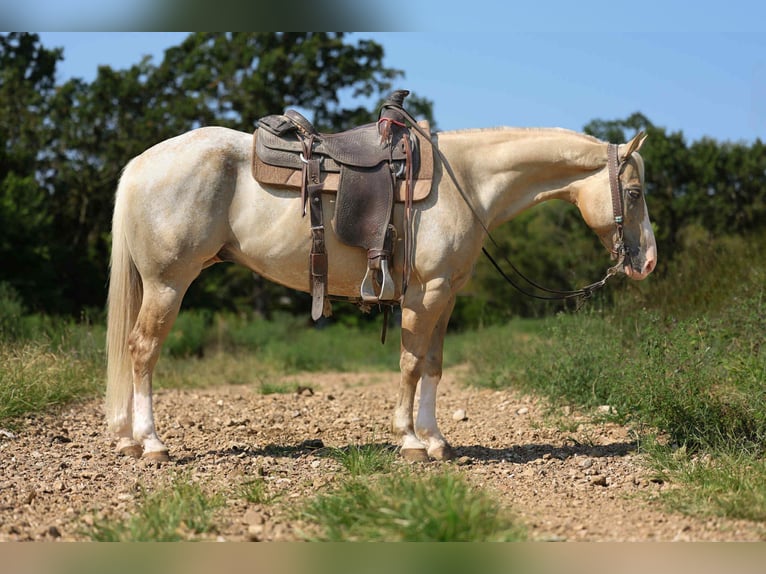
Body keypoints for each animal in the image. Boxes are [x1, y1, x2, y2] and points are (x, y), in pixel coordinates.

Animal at [105, 122, 656, 462]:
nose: (648, 262)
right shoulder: (423, 296)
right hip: (168, 283)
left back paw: (130, 440)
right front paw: (410, 441)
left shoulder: (445, 296)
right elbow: (410, 364)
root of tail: (140, 164)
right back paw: (150, 443)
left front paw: (437, 440)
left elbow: (433, 366)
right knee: (143, 350)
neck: (467, 183)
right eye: (634, 193)